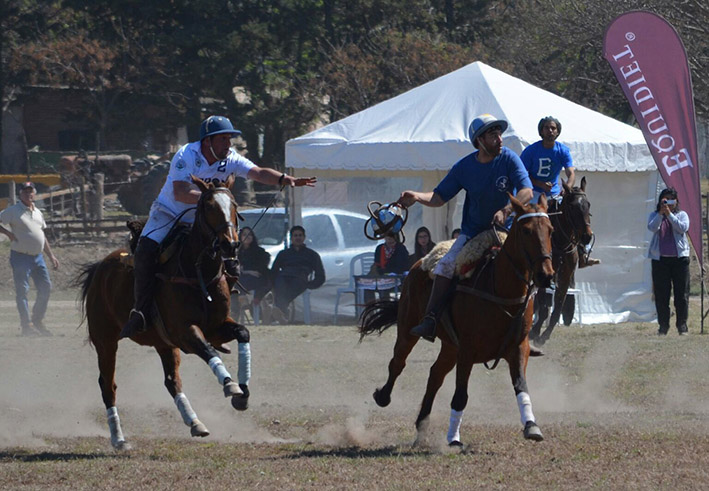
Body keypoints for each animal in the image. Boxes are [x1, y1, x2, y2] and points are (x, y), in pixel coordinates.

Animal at [76, 176, 249, 450]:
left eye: (233, 205)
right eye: (209, 206)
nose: (230, 244)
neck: (197, 271)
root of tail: (99, 268)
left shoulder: (216, 327)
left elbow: (243, 332)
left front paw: (242, 394)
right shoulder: (184, 332)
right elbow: (208, 350)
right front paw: (231, 385)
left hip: (162, 343)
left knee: (171, 381)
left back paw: (195, 423)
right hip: (105, 340)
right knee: (108, 386)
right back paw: (119, 439)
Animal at [360, 195, 552, 446]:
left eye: (550, 229)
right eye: (527, 230)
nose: (546, 274)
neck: (500, 288)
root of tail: (417, 264)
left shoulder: (518, 347)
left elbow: (521, 385)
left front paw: (531, 426)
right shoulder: (467, 350)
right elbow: (461, 395)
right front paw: (453, 438)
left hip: (450, 346)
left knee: (435, 375)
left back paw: (422, 426)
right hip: (408, 329)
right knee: (398, 362)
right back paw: (383, 396)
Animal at [528, 177, 596, 346]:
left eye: (588, 204)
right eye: (572, 207)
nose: (587, 236)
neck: (559, 241)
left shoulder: (565, 276)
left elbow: (558, 305)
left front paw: (544, 335)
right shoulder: (543, 276)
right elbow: (543, 305)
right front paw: (534, 331)